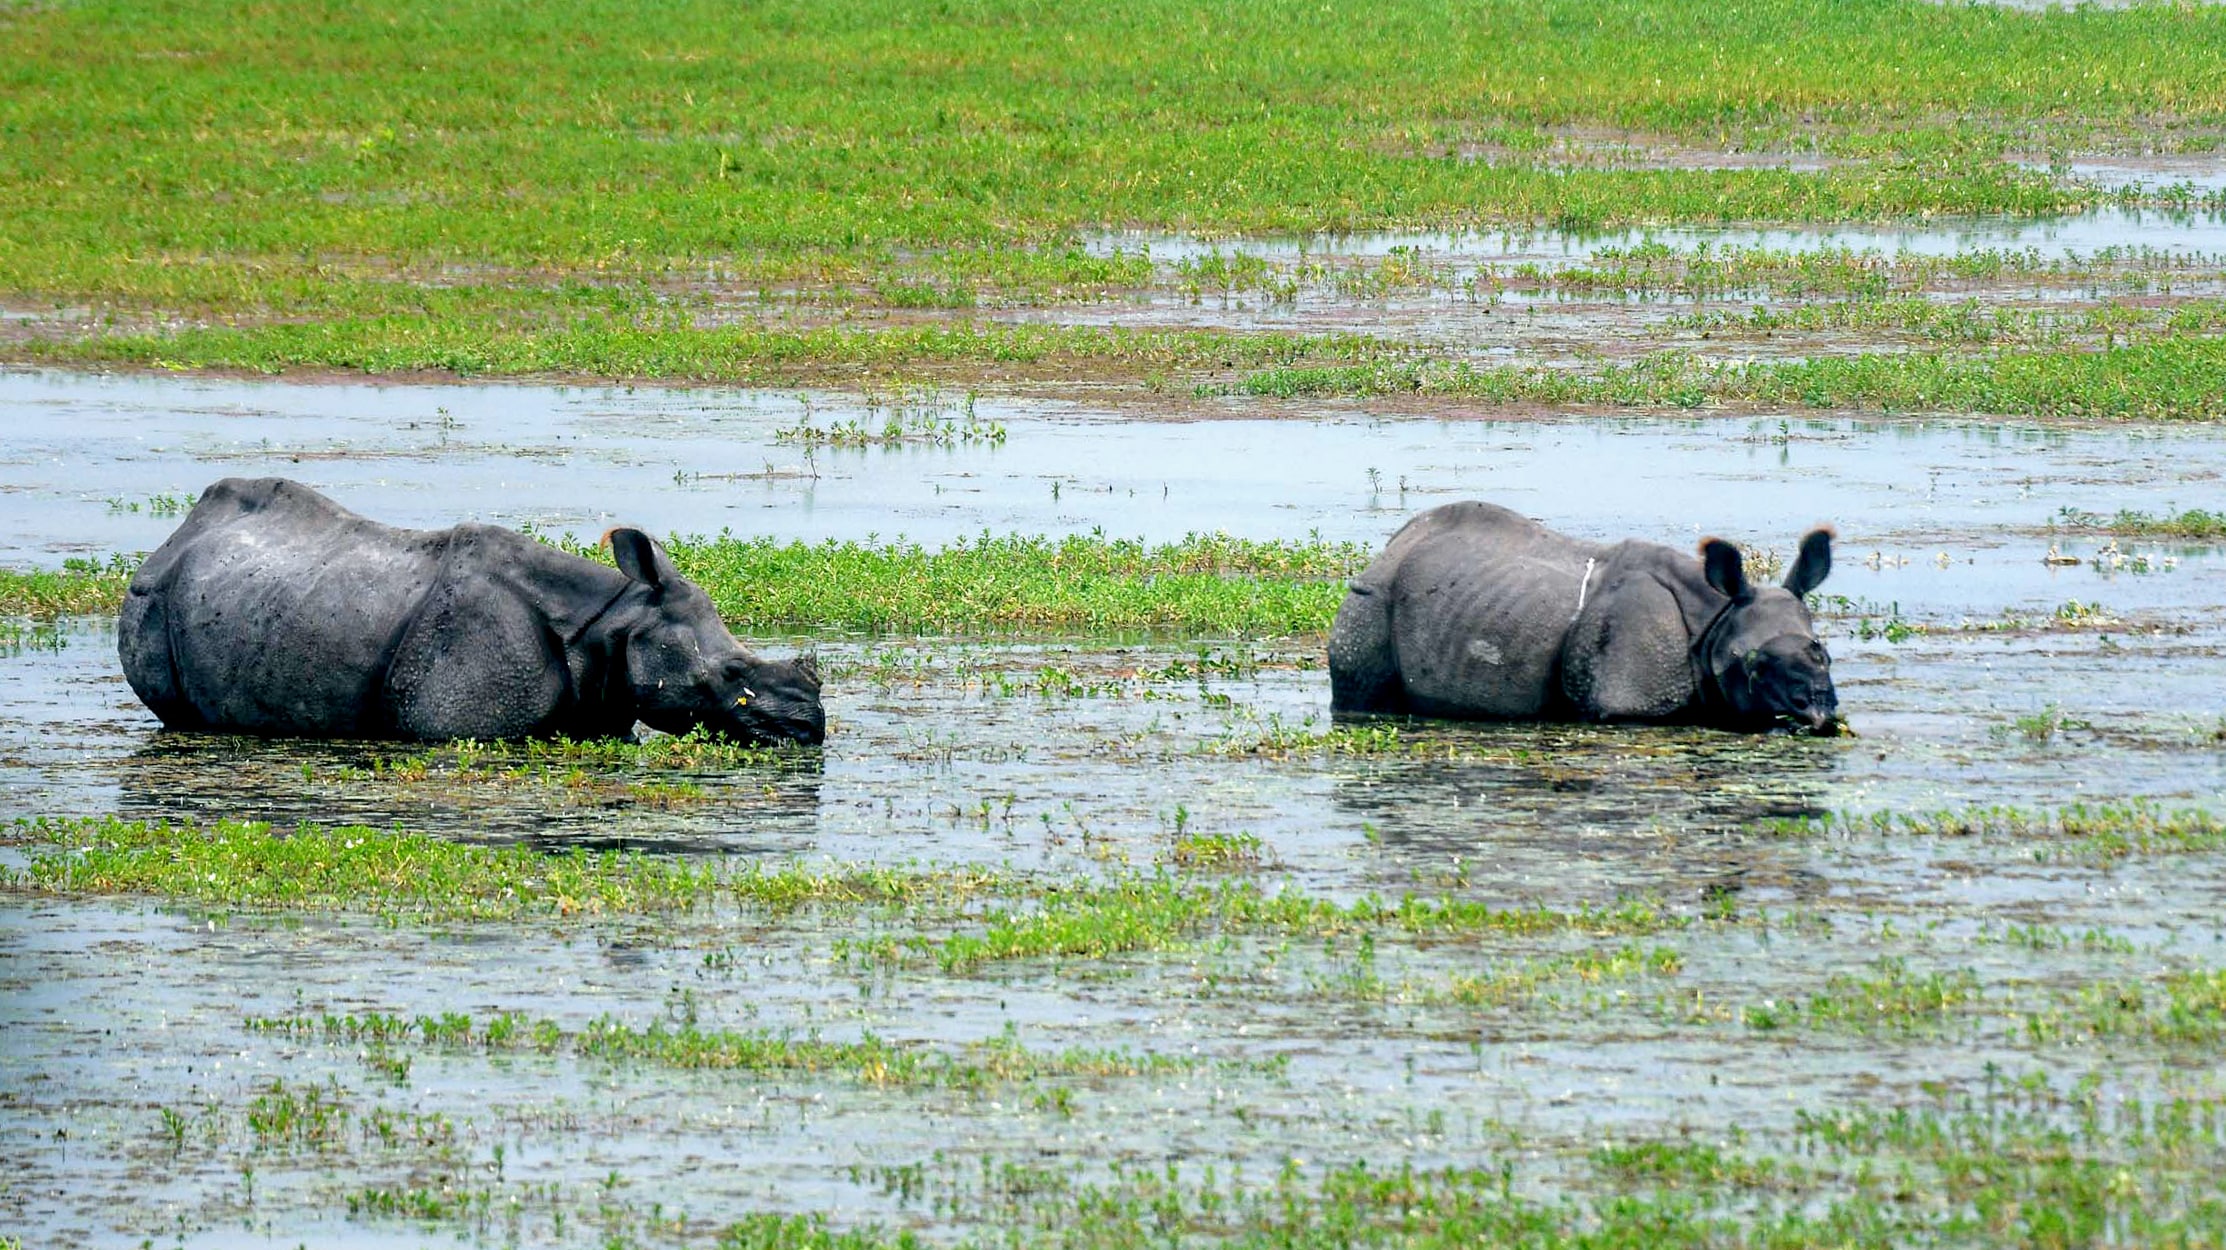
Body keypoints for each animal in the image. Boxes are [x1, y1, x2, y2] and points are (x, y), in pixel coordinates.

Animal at [1329, 501, 1838, 732]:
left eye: (1824, 653)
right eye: (1748, 663)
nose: (1816, 710)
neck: (1714, 615)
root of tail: (1392, 548)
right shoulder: (1626, 703)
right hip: (1371, 599)